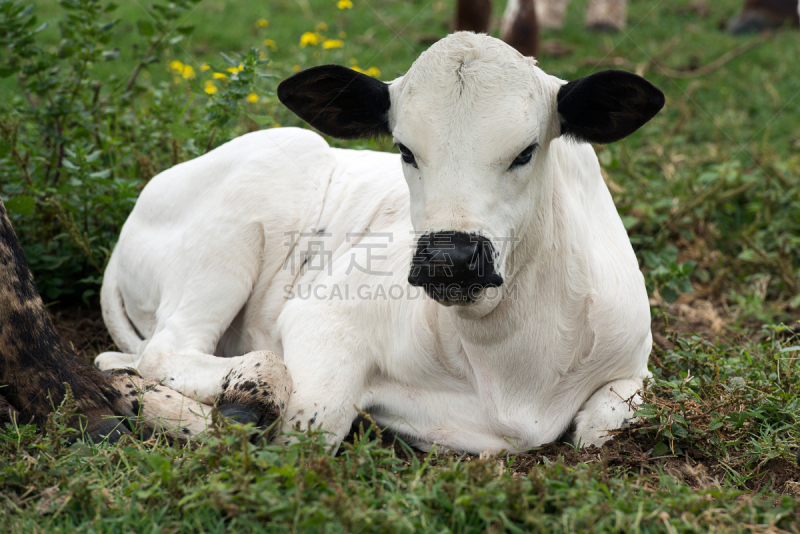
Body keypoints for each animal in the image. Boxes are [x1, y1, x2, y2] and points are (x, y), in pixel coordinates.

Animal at [97, 31, 664, 454]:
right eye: (404, 150)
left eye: (525, 151)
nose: (450, 260)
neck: (510, 365)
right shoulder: (321, 316)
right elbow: (306, 428)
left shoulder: (634, 363)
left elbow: (604, 425)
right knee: (164, 351)